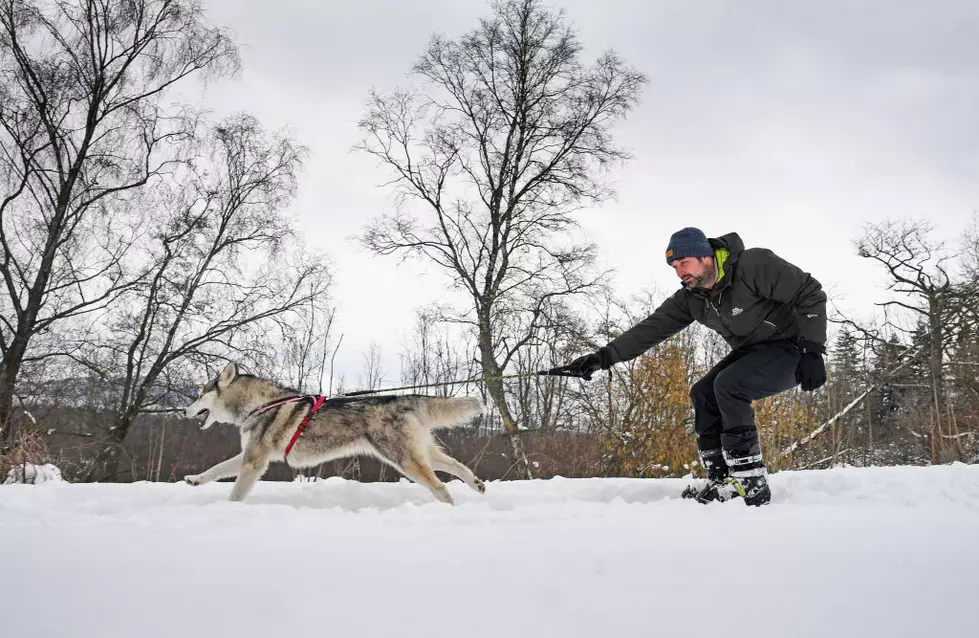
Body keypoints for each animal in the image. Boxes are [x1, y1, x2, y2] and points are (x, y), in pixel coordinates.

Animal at [183, 364, 486, 504]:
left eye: (199, 395)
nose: (185, 411)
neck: (259, 403)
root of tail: (402, 399)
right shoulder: (248, 455)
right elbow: (216, 469)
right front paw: (194, 480)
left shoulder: (254, 461)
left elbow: (235, 492)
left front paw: (229, 508)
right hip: (421, 453)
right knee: (456, 466)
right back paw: (477, 485)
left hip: (405, 460)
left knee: (441, 487)